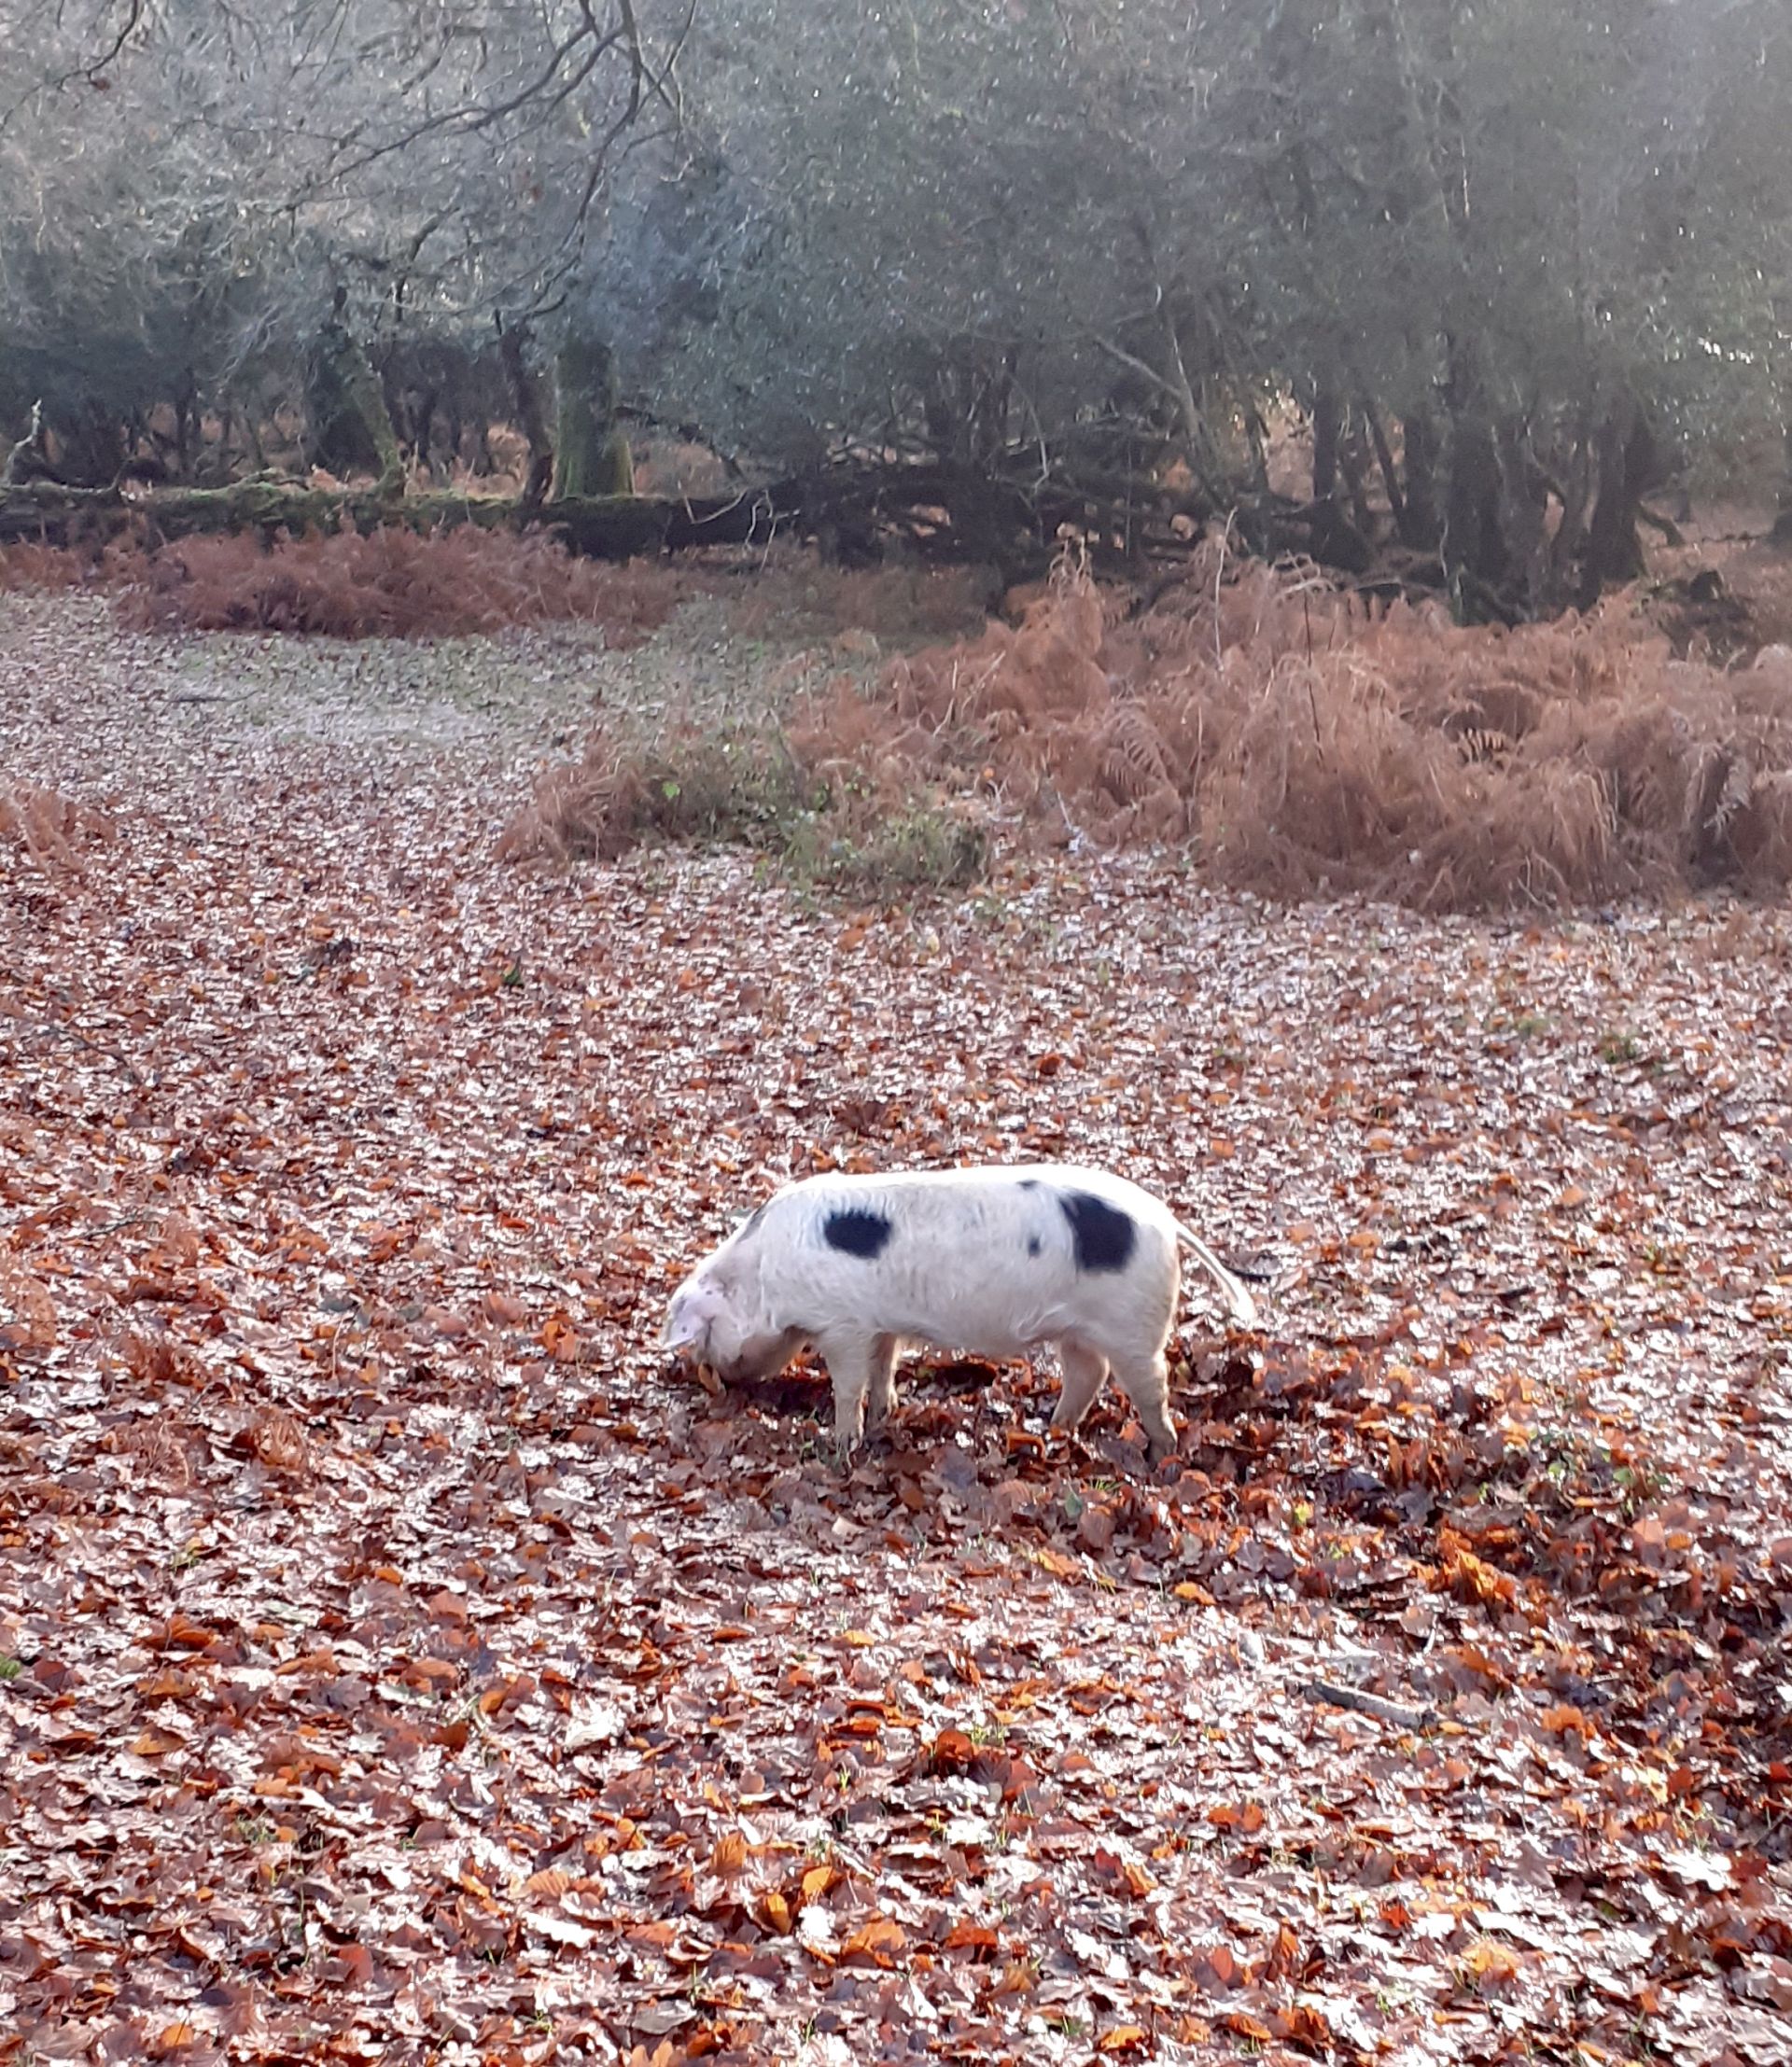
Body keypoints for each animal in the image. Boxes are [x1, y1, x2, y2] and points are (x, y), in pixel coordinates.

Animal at [663, 1163, 1257, 1462]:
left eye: (703, 1332)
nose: (720, 1382)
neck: (764, 1271)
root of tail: (1167, 1222)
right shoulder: (879, 1324)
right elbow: (884, 1368)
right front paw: (884, 1416)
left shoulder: (842, 1323)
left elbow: (849, 1384)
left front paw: (841, 1442)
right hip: (1079, 1329)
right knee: (1089, 1374)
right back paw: (1050, 1431)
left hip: (1133, 1326)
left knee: (1149, 1386)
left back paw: (1161, 1454)